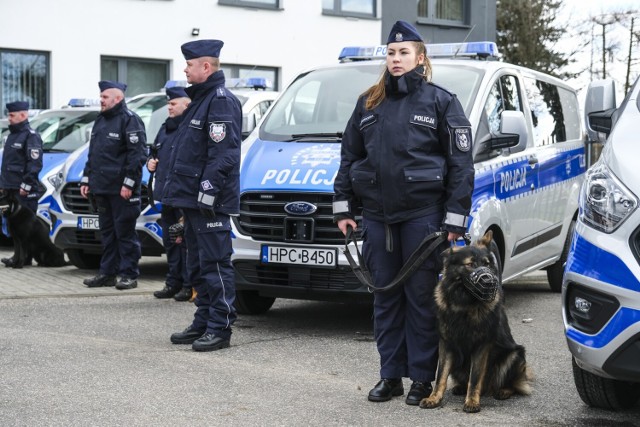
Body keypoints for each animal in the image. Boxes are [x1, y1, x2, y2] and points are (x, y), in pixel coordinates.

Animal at [422, 232, 532, 412]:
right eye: (471, 264)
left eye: (487, 264)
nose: (489, 282)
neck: (464, 305)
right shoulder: (446, 344)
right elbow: (441, 375)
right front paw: (434, 398)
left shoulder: (481, 346)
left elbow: (475, 377)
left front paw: (472, 401)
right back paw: (460, 387)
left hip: (514, 356)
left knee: (514, 385)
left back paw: (502, 391)